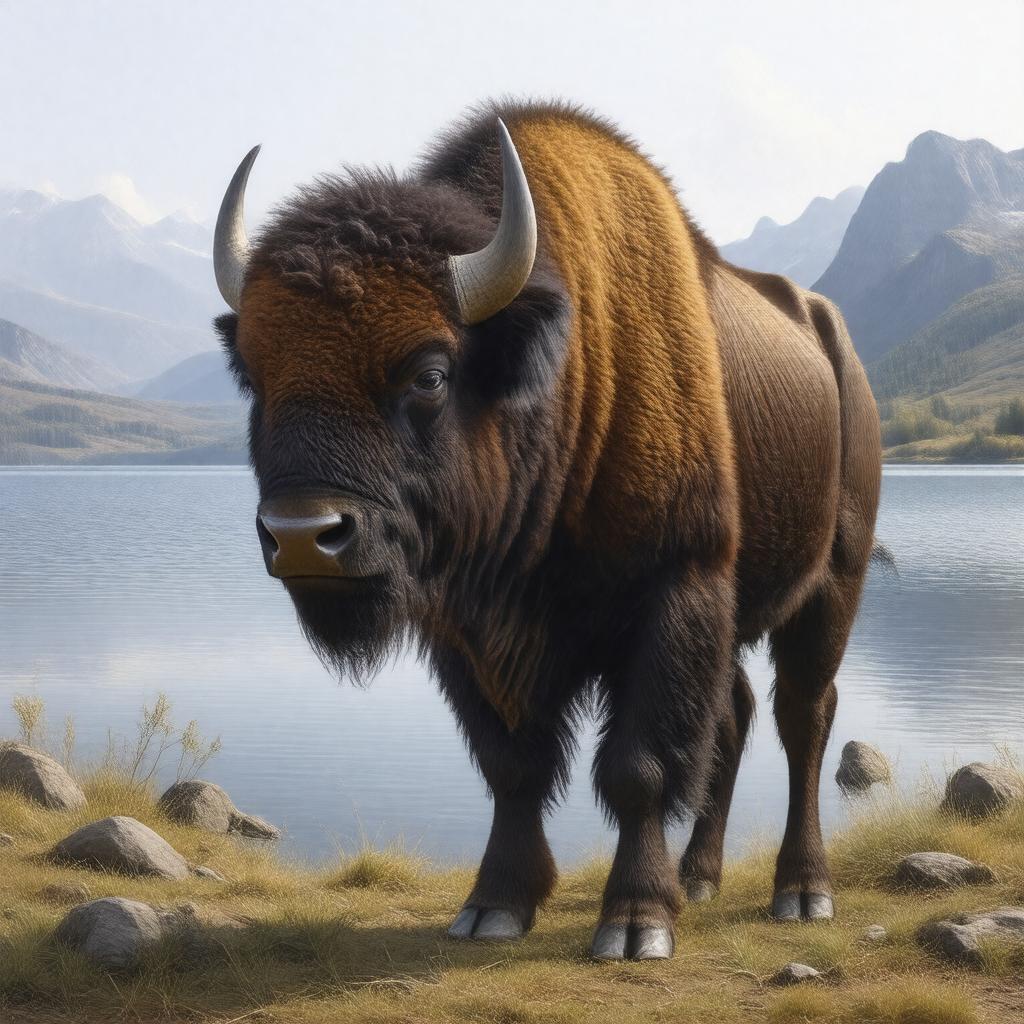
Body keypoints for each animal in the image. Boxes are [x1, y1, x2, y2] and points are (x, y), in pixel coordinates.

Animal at [213, 101, 881, 961]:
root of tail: (835, 344)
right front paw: (492, 906)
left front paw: (635, 924)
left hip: (833, 583)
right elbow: (514, 766)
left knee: (804, 718)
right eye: (256, 379)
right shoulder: (471, 634)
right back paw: (699, 879)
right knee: (733, 719)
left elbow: (637, 767)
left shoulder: (674, 591)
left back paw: (801, 893)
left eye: (430, 372)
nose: (302, 536)